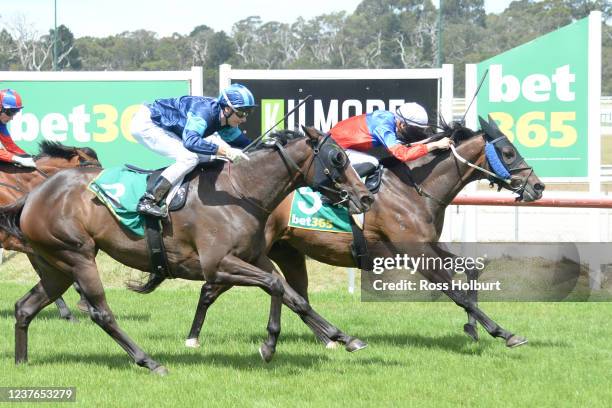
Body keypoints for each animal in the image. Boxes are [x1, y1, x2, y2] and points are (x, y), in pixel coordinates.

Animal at [182, 116, 544, 350]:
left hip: (285, 251)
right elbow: (454, 292)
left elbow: (471, 268)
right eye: (509, 153)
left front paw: (472, 327)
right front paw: (502, 332)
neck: (415, 188)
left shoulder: (427, 244)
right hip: (249, 252)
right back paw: (193, 336)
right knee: (214, 288)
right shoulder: (414, 251)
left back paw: (329, 338)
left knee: (292, 292)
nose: (538, 187)